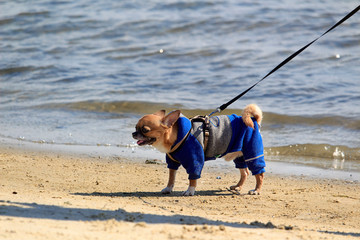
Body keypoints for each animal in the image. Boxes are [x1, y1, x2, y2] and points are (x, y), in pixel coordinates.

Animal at [132, 104, 264, 196]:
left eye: (145, 130)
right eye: (135, 127)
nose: (133, 133)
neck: (178, 137)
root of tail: (254, 120)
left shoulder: (195, 161)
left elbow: (192, 178)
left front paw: (190, 191)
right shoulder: (172, 163)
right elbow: (171, 177)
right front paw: (168, 188)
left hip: (252, 154)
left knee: (259, 174)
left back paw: (256, 190)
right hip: (239, 156)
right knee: (245, 173)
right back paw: (238, 187)